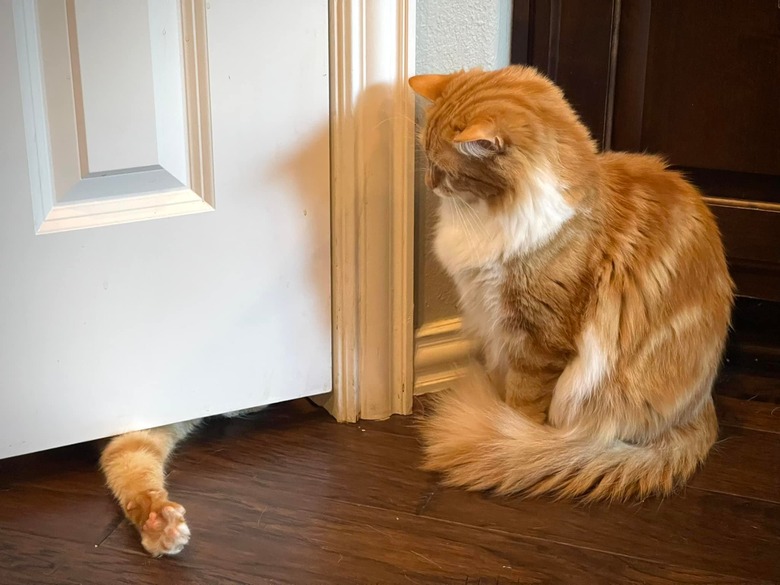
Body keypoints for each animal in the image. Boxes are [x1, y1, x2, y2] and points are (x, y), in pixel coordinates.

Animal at [412, 65, 736, 502]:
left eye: (445, 169)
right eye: (426, 158)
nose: (429, 182)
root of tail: (702, 407)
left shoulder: (539, 341)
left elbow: (523, 401)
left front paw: (510, 433)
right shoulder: (496, 325)